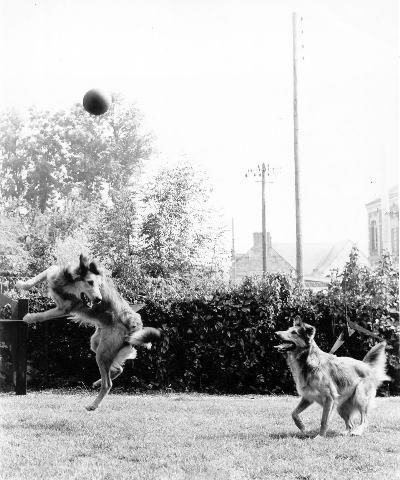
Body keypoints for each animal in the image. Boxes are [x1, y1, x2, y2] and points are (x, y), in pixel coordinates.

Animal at [17, 253, 161, 410]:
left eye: (99, 285)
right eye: (90, 282)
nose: (99, 300)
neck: (67, 286)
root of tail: (134, 325)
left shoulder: (63, 309)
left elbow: (43, 315)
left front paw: (30, 317)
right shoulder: (54, 273)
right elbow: (44, 272)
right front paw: (21, 284)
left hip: (103, 351)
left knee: (108, 383)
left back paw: (93, 404)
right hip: (97, 344)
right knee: (117, 369)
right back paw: (97, 382)